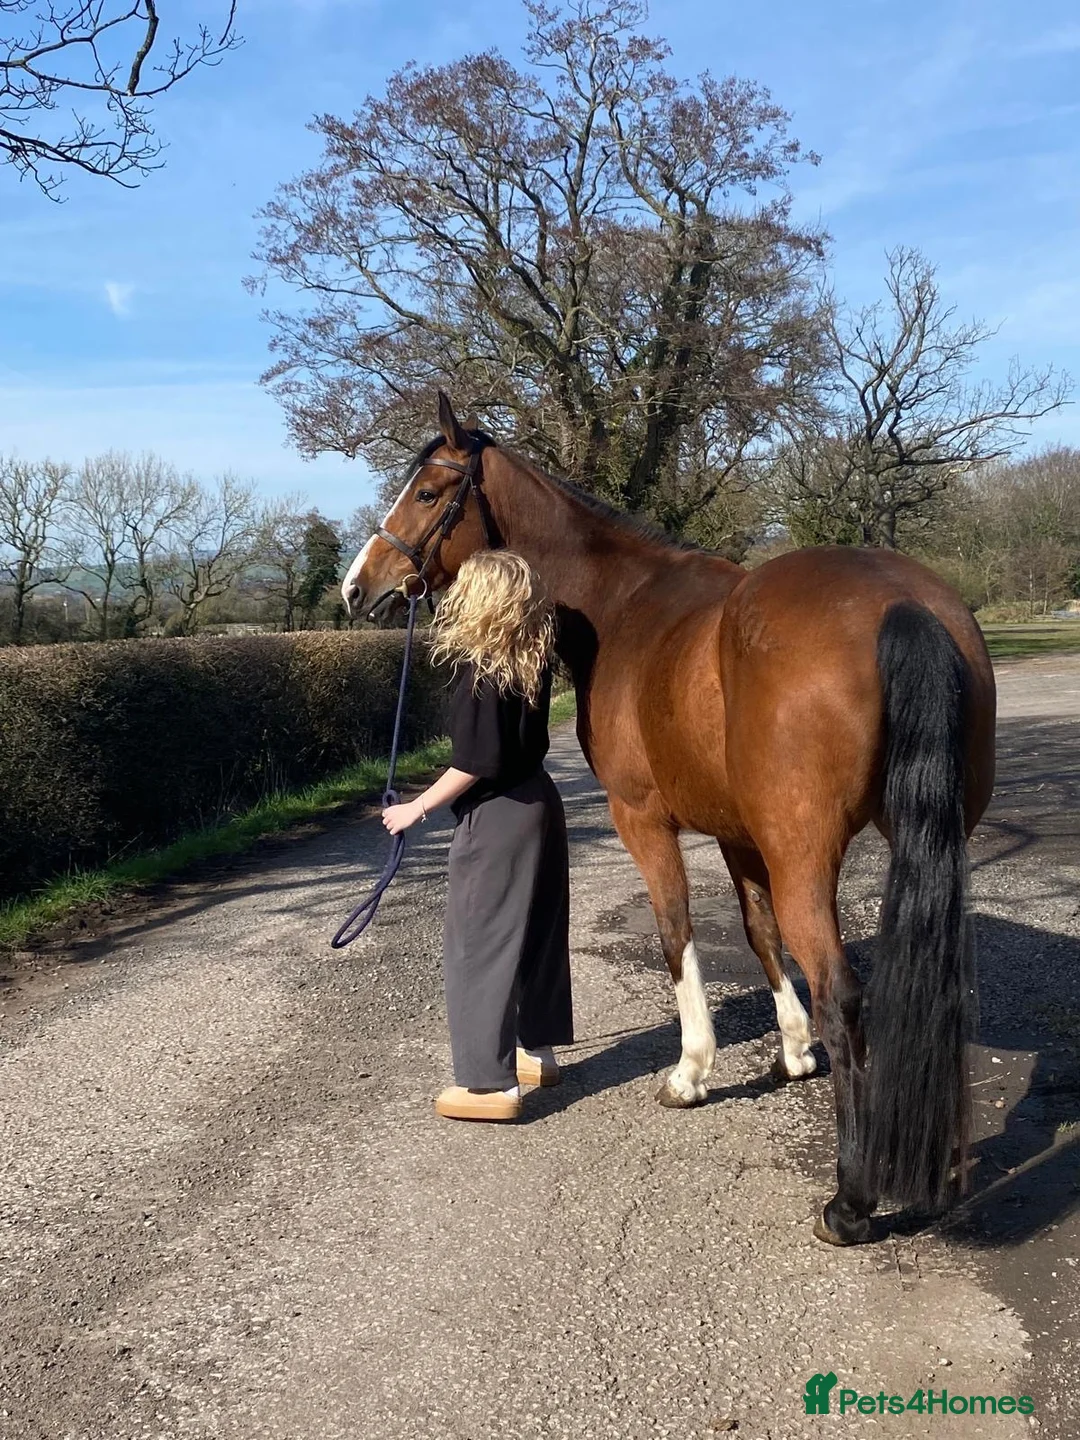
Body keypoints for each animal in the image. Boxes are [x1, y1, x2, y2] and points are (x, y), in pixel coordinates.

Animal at [342, 393, 996, 1246]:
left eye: (426, 492)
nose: (356, 588)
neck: (624, 605)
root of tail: (903, 603)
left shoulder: (644, 820)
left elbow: (677, 930)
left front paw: (691, 1071)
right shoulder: (739, 832)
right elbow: (757, 931)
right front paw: (792, 1054)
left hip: (807, 856)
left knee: (844, 995)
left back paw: (850, 1203)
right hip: (928, 841)